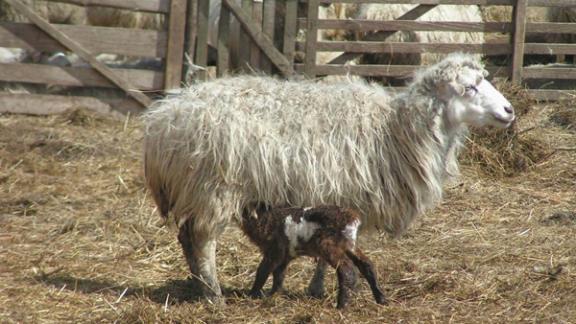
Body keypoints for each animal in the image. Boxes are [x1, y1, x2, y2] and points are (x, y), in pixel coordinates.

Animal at [144, 52, 516, 302]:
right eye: (469, 88)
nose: (510, 110)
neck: (395, 129)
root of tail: (164, 118)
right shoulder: (342, 195)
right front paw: (319, 287)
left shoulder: (333, 200)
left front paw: (318, 287)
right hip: (213, 189)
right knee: (203, 241)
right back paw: (213, 293)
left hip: (194, 192)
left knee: (186, 238)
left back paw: (198, 284)